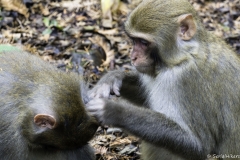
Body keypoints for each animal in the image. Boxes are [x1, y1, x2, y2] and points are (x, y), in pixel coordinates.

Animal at [87, 0, 240, 160]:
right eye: (134, 41)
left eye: (143, 42)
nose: (133, 57)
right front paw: (112, 78)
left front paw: (114, 111)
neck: (184, 55)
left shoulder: (183, 80)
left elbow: (199, 146)